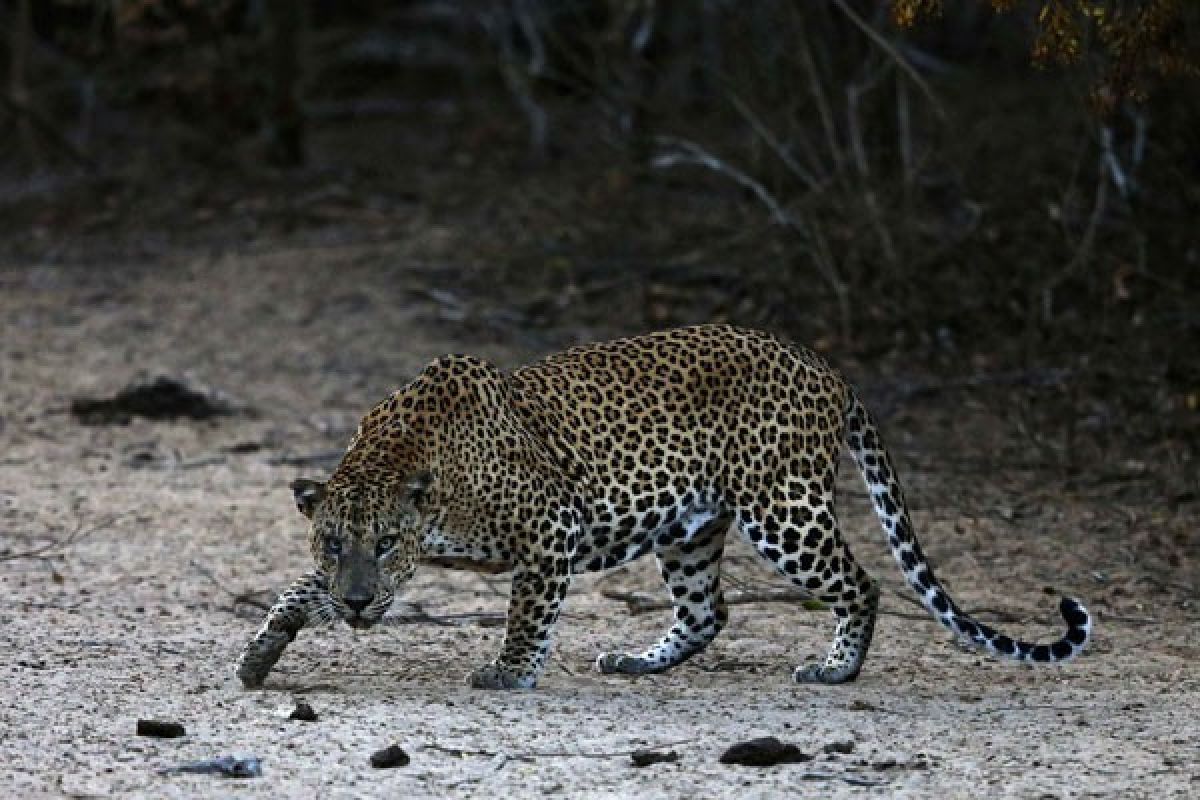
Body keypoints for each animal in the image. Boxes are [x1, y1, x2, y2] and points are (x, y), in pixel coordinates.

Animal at [234, 323, 1089, 690]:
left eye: (385, 544)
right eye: (335, 543)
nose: (358, 602)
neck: (417, 466)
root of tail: (825, 366)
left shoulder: (551, 529)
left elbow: (526, 614)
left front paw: (509, 672)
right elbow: (296, 592)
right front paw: (263, 648)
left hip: (784, 508)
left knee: (864, 583)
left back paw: (837, 668)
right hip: (690, 528)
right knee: (709, 610)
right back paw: (638, 660)